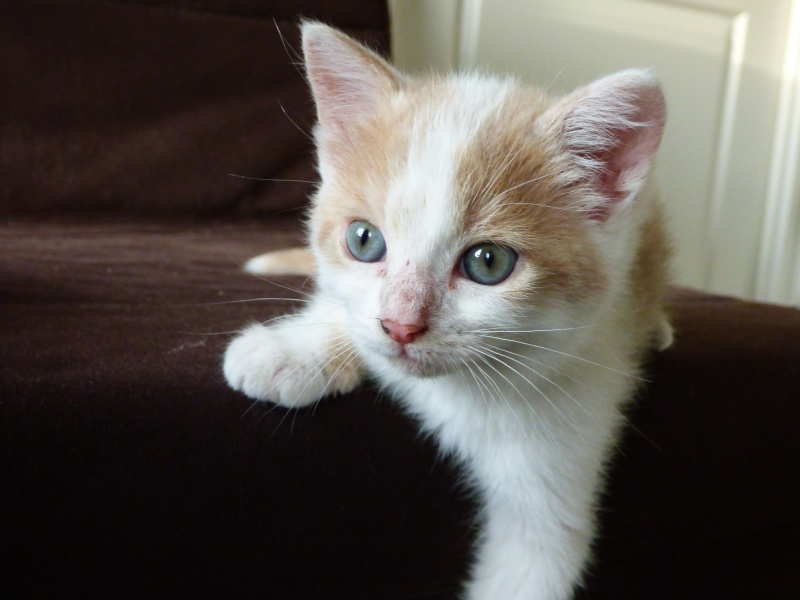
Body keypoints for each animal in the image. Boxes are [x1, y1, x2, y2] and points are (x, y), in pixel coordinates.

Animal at [222, 22, 672, 600]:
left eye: (488, 262)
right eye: (364, 240)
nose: (400, 325)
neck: (457, 391)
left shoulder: (566, 442)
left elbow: (536, 557)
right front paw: (292, 348)